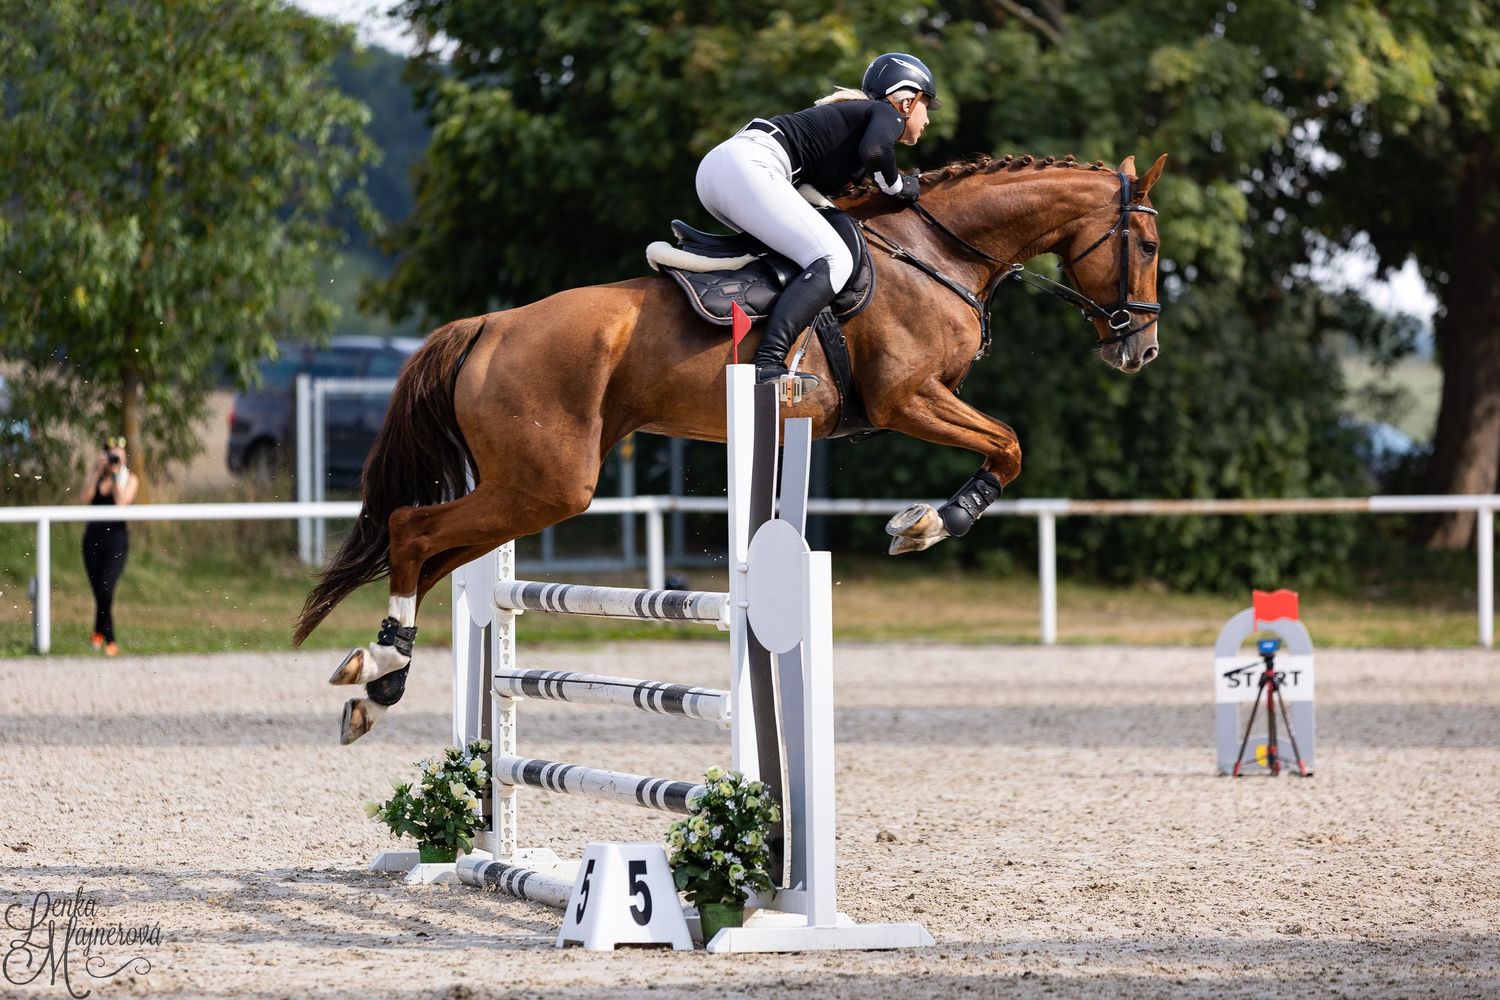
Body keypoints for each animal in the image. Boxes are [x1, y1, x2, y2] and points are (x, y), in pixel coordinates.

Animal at [296, 151, 1169, 743]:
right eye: (1152, 248)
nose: (1141, 350)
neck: (938, 254)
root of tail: (487, 325)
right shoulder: (909, 398)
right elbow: (1011, 447)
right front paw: (923, 525)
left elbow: (1006, 448)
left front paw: (920, 521)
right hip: (548, 483)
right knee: (411, 531)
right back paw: (381, 670)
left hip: (529, 489)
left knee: (432, 554)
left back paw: (375, 681)